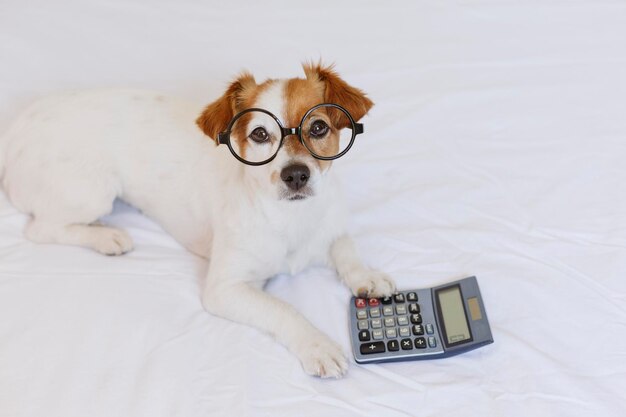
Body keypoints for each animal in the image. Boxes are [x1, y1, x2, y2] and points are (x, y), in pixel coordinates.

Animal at [1, 62, 394, 376]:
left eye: (318, 128)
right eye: (260, 134)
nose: (295, 175)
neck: (292, 217)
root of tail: (16, 125)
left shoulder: (332, 228)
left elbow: (346, 249)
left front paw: (368, 276)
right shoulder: (224, 289)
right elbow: (283, 308)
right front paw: (317, 345)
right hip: (92, 192)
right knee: (41, 228)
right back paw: (106, 236)